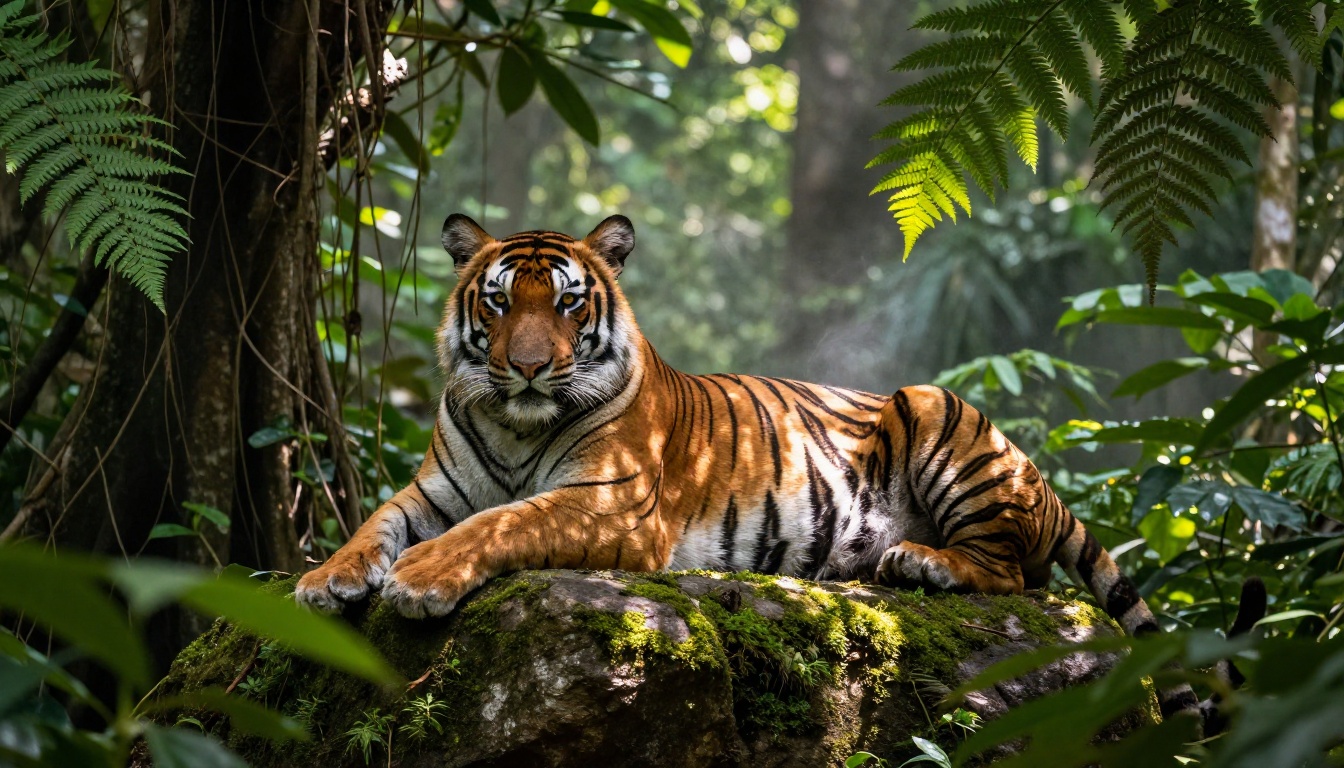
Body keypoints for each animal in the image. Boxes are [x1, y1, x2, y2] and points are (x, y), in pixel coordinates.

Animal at [296, 213, 1202, 725]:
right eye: (497, 300)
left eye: (566, 302)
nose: (525, 369)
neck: (517, 425)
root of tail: (1040, 480)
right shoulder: (432, 489)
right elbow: (375, 521)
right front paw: (324, 581)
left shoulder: (612, 501)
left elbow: (506, 520)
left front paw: (421, 578)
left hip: (939, 410)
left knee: (1014, 572)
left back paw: (919, 562)